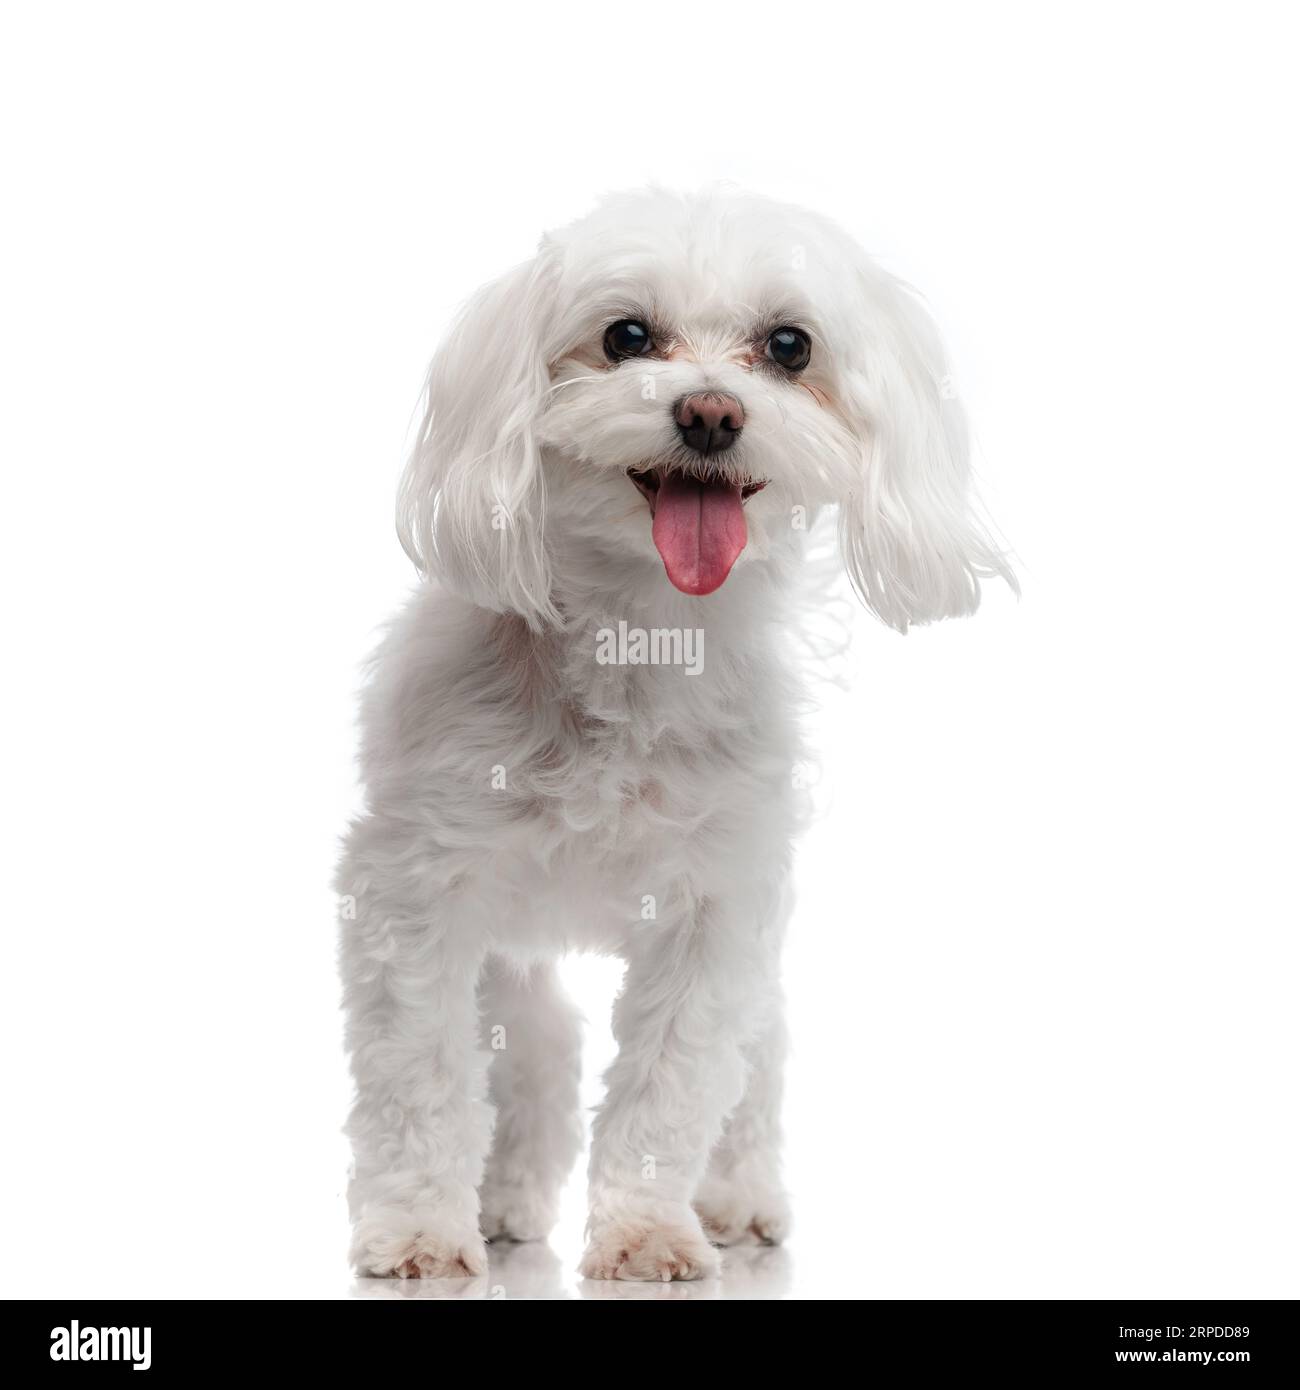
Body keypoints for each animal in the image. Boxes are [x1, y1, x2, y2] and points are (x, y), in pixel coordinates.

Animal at [337, 184, 1017, 1278]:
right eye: (625, 336)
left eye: (789, 345)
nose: (709, 413)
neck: (644, 635)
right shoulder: (415, 889)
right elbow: (419, 1078)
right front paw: (418, 1229)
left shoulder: (718, 910)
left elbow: (673, 1083)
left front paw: (648, 1231)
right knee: (538, 1045)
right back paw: (505, 1198)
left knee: (756, 1062)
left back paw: (737, 1196)